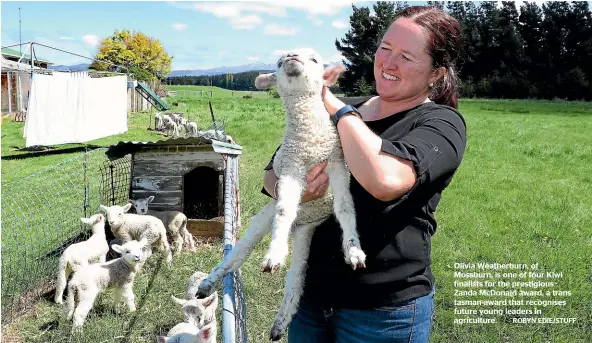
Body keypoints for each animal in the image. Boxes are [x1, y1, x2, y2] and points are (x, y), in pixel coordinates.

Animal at [194, 47, 364, 342]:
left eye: (315, 59)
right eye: (279, 61)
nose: (292, 57)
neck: (309, 142)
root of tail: (299, 226)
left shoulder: (336, 162)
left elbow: (345, 207)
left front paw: (354, 251)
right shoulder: (291, 167)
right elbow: (285, 208)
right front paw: (273, 255)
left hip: (307, 233)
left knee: (295, 278)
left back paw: (280, 322)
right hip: (264, 217)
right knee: (238, 254)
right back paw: (210, 283)